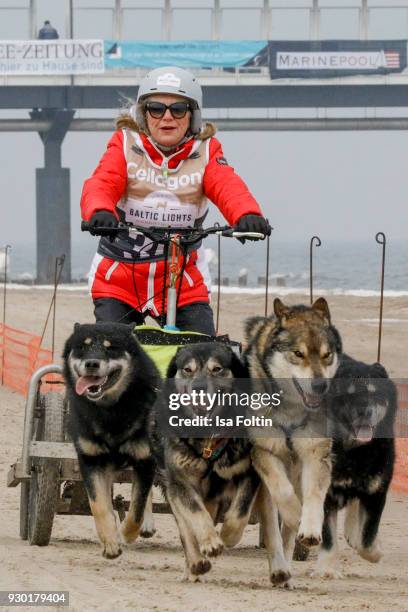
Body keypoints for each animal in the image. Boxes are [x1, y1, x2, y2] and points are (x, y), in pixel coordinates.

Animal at [150, 342, 258, 580]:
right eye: (187, 370)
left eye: (217, 369)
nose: (198, 387)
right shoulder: (179, 481)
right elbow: (195, 514)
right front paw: (209, 542)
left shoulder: (248, 471)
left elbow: (240, 511)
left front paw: (227, 535)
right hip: (172, 486)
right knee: (185, 524)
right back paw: (196, 561)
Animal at [314, 356, 396, 576]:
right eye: (349, 394)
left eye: (373, 392)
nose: (364, 410)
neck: (355, 452)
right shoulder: (326, 494)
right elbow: (329, 537)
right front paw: (326, 568)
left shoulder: (376, 491)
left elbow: (367, 537)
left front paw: (375, 552)